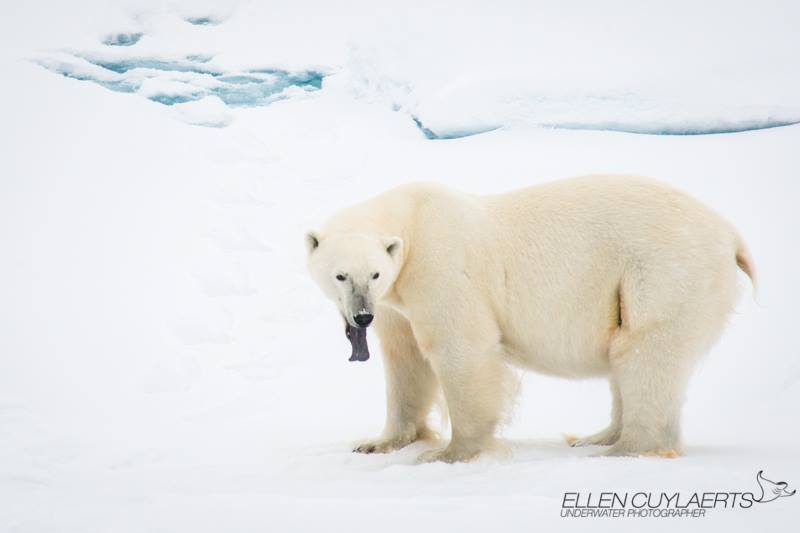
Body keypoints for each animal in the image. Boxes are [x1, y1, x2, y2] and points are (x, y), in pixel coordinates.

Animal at [305, 175, 755, 463]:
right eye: (340, 275)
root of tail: (731, 235)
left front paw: (449, 452)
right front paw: (378, 442)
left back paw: (623, 448)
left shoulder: (440, 266)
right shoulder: (397, 302)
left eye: (374, 274)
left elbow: (460, 347)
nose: (361, 317)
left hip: (661, 269)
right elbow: (406, 362)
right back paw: (596, 437)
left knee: (646, 349)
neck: (413, 220)